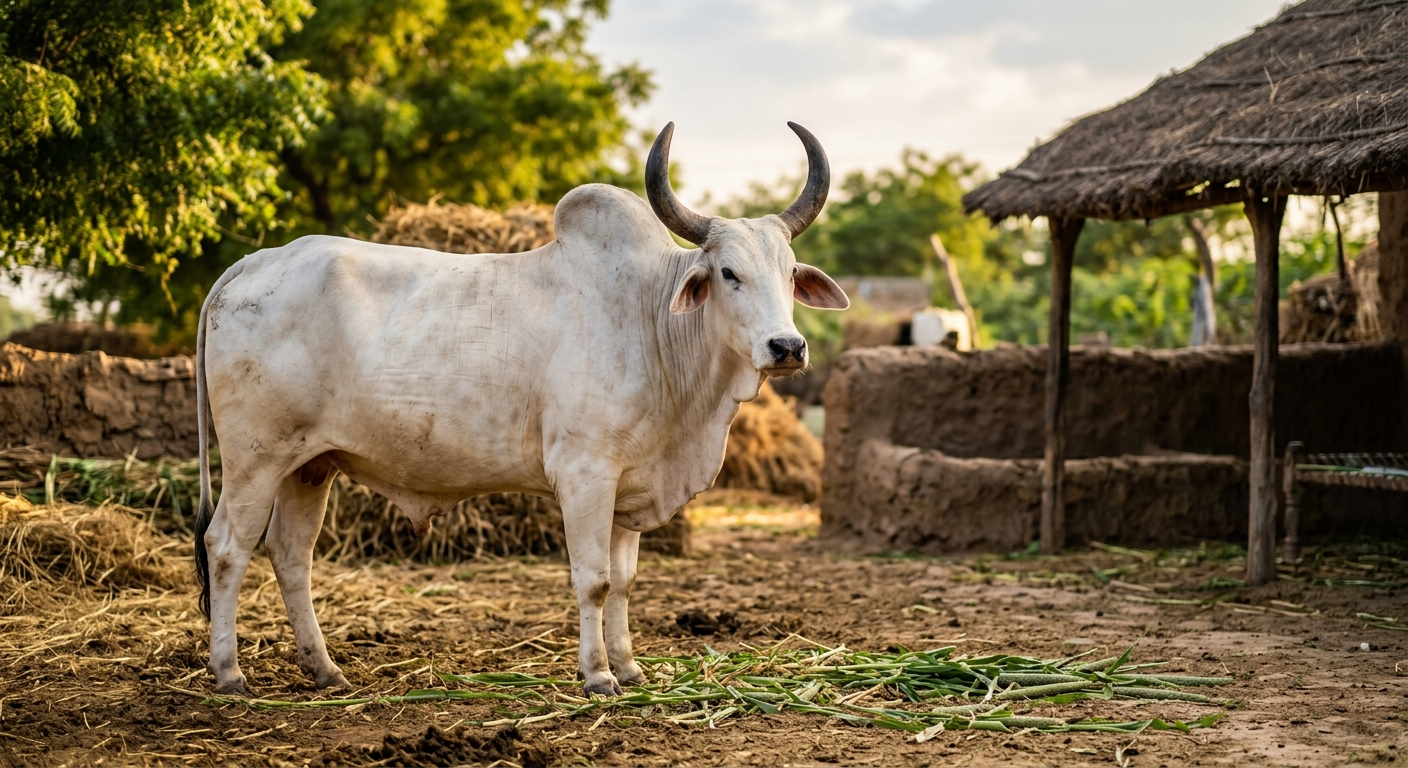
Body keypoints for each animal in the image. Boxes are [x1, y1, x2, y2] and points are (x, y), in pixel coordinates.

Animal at [193, 122, 849, 697]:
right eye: (728, 273)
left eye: (790, 274)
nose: (787, 347)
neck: (649, 320)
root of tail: (253, 263)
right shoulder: (585, 475)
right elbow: (594, 581)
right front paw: (598, 675)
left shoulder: (627, 484)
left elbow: (625, 582)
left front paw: (630, 667)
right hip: (256, 459)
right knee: (226, 547)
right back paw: (229, 674)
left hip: (311, 464)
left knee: (290, 555)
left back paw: (325, 670)